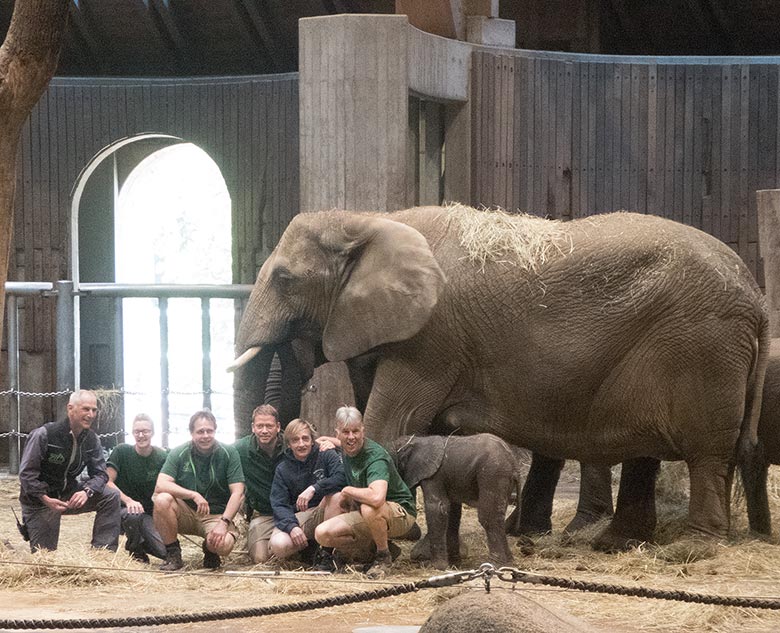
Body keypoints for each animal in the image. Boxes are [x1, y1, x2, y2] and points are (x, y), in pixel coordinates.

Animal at [230, 206, 768, 548]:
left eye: (285, 279)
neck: (367, 218)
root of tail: (757, 296)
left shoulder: (432, 340)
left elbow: (388, 424)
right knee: (647, 452)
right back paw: (615, 543)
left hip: (702, 345)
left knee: (706, 452)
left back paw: (694, 548)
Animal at [394, 434, 520, 568]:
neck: (415, 440)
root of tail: (514, 464)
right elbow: (452, 513)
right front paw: (454, 564)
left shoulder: (433, 475)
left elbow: (437, 508)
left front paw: (435, 566)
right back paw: (508, 563)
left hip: (493, 473)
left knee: (488, 518)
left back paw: (494, 564)